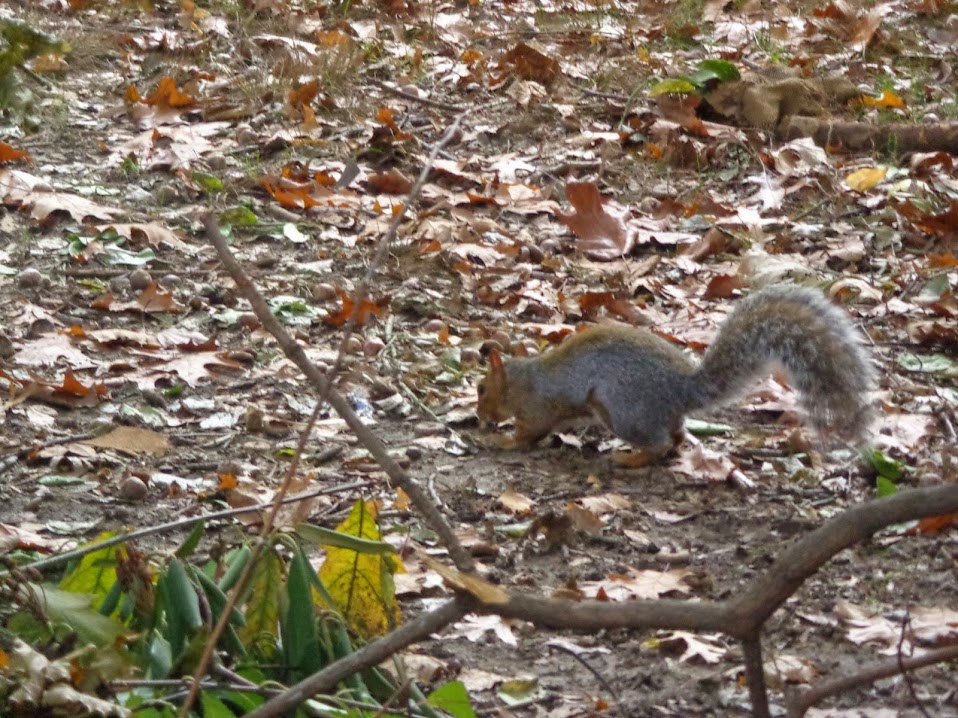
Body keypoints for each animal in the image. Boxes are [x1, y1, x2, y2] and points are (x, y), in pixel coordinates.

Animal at [480, 286, 876, 458]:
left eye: (482, 389)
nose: (480, 417)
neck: (519, 380)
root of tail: (681, 389)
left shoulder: (537, 408)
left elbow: (529, 433)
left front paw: (502, 441)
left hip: (620, 410)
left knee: (658, 444)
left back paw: (631, 458)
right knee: (678, 436)